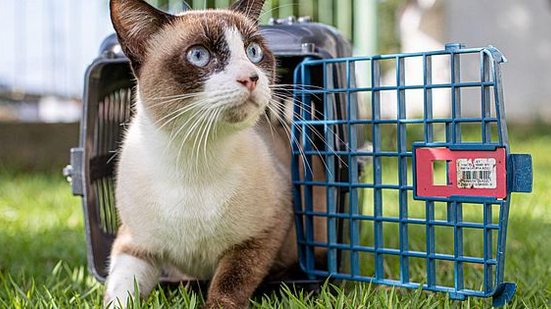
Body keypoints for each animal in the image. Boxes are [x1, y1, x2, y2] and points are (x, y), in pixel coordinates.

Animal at [103, 0, 328, 306]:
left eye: (253, 52)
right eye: (199, 55)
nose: (250, 78)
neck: (193, 158)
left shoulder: (260, 235)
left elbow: (228, 286)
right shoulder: (134, 244)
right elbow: (120, 292)